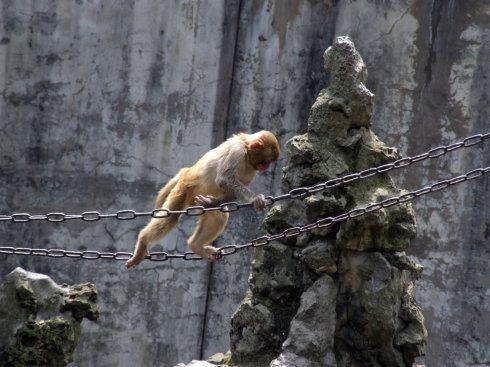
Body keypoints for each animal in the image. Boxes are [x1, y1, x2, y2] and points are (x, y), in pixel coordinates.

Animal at [125, 131, 280, 268]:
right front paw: (255, 198)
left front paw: (211, 202)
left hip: (196, 199)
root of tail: (186, 173)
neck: (246, 151)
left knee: (219, 216)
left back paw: (196, 245)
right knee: (170, 217)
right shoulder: (237, 152)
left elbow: (231, 191)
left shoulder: (251, 169)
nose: (266, 167)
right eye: (266, 161)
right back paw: (143, 241)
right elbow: (224, 180)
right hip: (183, 189)